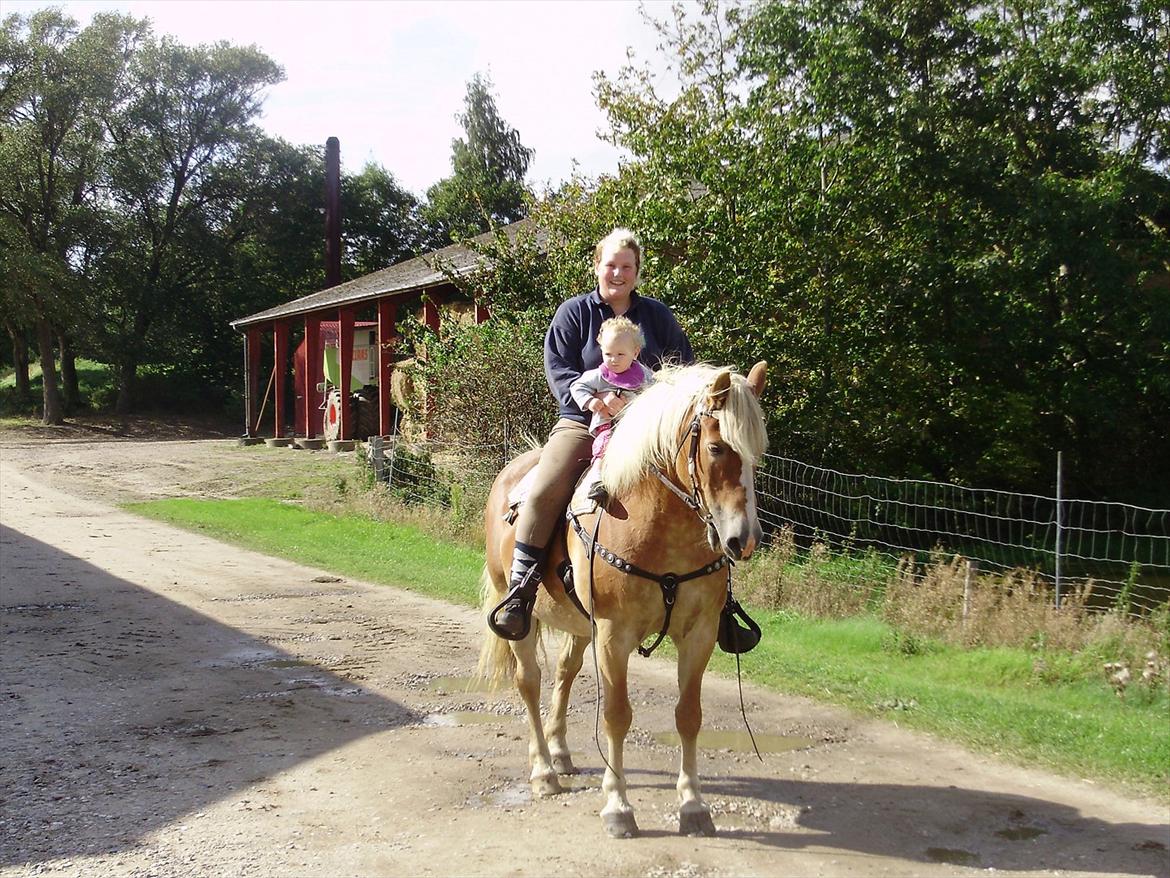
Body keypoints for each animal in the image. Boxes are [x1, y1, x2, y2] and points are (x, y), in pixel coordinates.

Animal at [475, 362, 767, 838]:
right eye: (717, 447)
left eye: (758, 452)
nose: (744, 540)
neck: (659, 529)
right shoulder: (614, 637)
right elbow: (616, 715)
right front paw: (618, 806)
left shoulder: (699, 635)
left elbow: (689, 714)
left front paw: (693, 805)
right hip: (518, 609)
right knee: (529, 681)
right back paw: (544, 772)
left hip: (579, 625)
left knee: (564, 672)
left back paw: (560, 753)